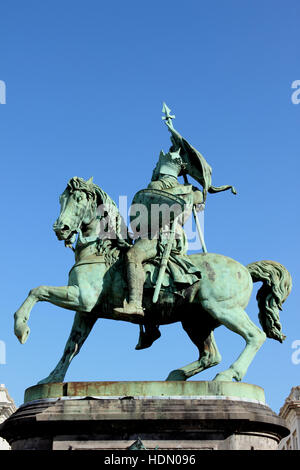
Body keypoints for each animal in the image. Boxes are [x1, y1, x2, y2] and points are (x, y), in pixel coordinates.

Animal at [13, 176, 290, 386]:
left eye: (79, 199)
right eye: (61, 199)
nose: (60, 228)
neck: (99, 252)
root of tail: (245, 269)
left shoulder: (81, 298)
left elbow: (37, 290)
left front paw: (21, 328)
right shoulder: (86, 311)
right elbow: (71, 346)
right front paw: (51, 379)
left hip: (223, 309)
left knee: (254, 336)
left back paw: (229, 374)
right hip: (196, 321)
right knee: (211, 355)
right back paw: (176, 375)